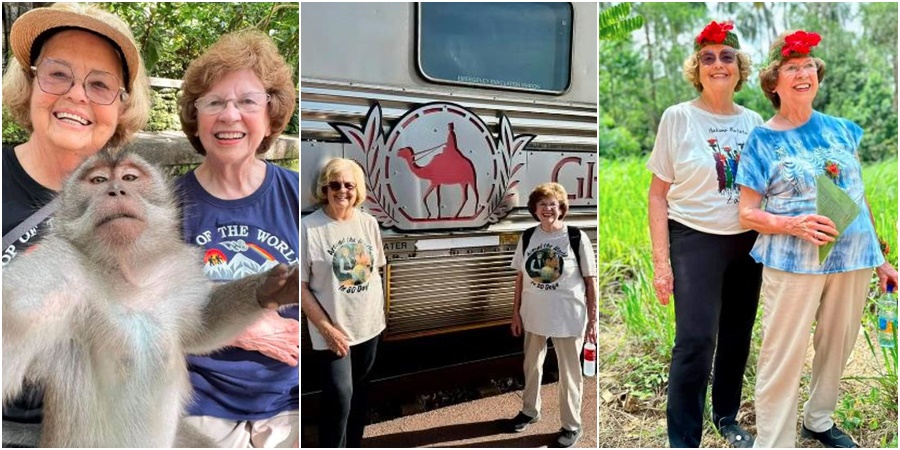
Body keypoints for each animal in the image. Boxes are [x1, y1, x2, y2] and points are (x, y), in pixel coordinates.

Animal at [2, 151, 298, 446]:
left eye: (129, 177)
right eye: (98, 180)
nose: (115, 190)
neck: (126, 276)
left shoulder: (174, 272)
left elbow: (202, 325)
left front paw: (268, 288)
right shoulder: (62, 269)